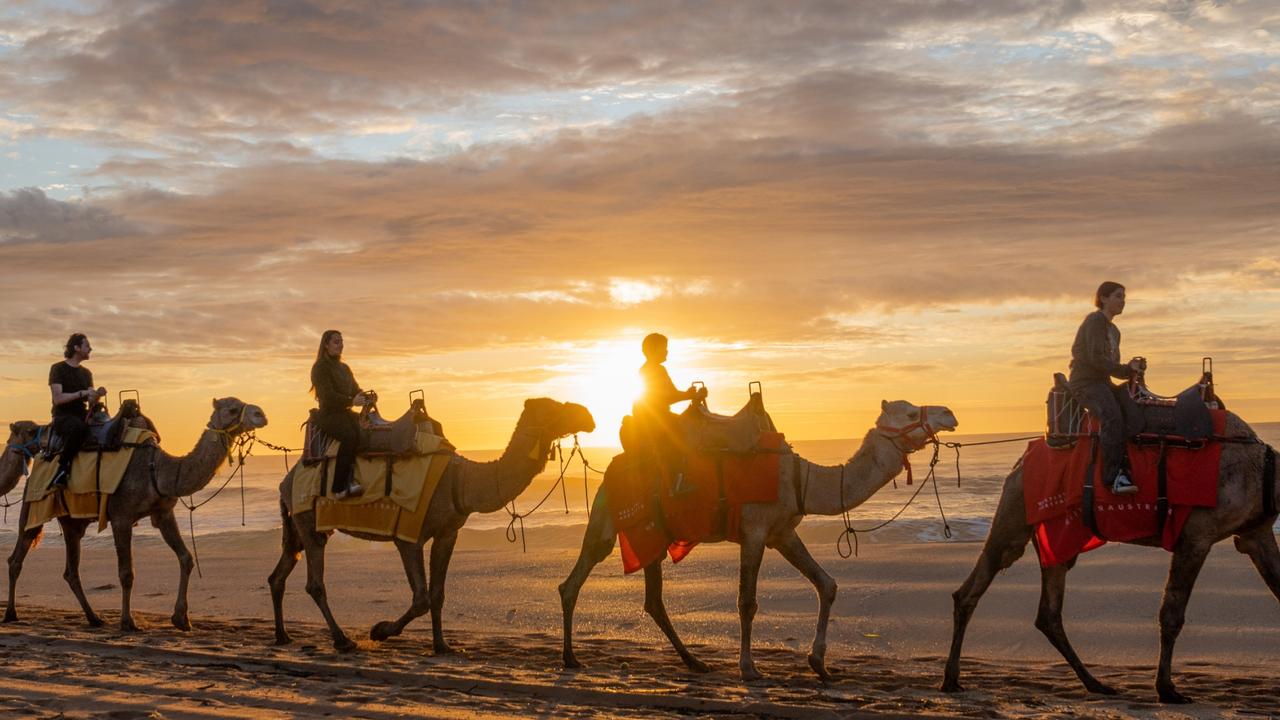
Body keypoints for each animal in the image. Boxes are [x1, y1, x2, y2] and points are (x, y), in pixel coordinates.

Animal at [5, 397, 268, 627]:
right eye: (233, 409)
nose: (261, 414)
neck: (157, 470)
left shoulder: (163, 513)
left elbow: (186, 558)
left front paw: (182, 619)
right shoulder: (121, 517)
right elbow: (126, 572)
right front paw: (128, 622)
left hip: (72, 521)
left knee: (71, 570)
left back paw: (94, 618)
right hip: (33, 506)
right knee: (16, 558)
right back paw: (11, 614)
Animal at [268, 394, 593, 653]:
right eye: (555, 409)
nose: (587, 416)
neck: (460, 481)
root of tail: (287, 479)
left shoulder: (448, 532)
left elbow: (437, 594)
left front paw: (442, 646)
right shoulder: (408, 534)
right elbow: (421, 598)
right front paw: (379, 630)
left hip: (297, 526)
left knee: (281, 571)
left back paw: (283, 636)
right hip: (308, 520)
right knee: (315, 582)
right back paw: (342, 640)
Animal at [555, 397, 957, 676]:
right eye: (909, 414)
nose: (949, 414)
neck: (801, 479)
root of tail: (610, 469)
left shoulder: (782, 532)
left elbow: (826, 584)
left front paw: (819, 663)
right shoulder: (755, 530)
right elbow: (747, 602)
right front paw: (749, 668)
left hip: (651, 533)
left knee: (649, 599)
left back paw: (694, 662)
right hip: (612, 517)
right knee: (579, 578)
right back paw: (571, 658)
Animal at [942, 409, 1280, 702]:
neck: (1261, 471)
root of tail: (1020, 461)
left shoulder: (1256, 534)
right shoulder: (1196, 535)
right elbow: (1171, 614)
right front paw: (1167, 690)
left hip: (1056, 533)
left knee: (1048, 611)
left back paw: (1095, 684)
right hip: (1017, 509)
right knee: (975, 586)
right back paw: (950, 679)